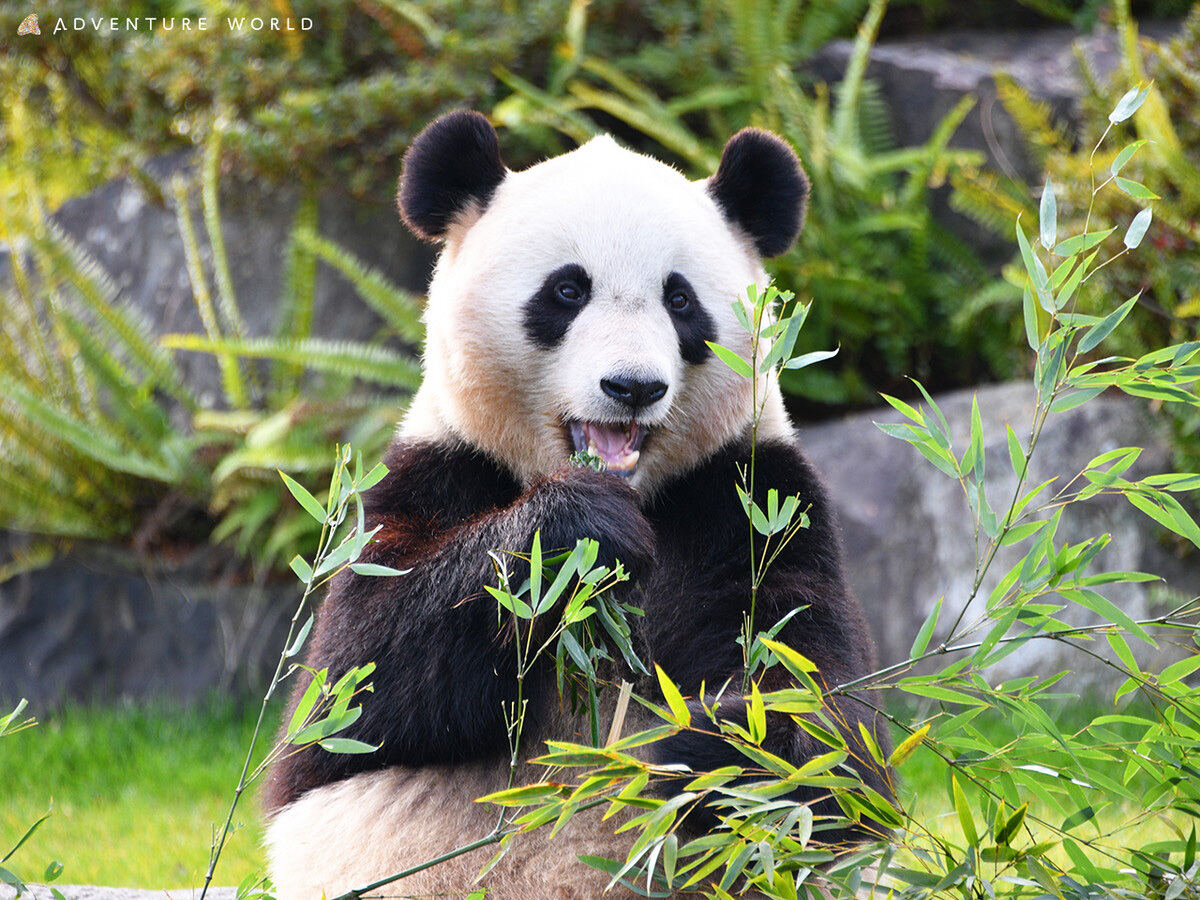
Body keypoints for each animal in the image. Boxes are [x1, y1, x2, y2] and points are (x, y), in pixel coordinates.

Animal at [267, 109, 897, 897]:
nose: (632, 387)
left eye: (680, 300)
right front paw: (577, 528)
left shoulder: (752, 500)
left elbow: (829, 729)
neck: (635, 489)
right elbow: (350, 691)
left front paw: (714, 741)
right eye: (567, 291)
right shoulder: (439, 473)